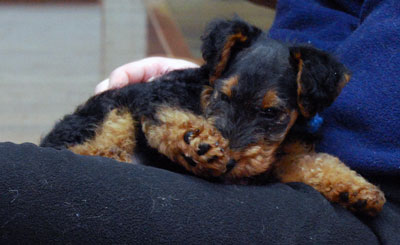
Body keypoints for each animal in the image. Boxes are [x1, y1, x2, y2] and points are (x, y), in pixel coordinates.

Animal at [40, 18, 384, 215]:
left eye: (271, 112)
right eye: (223, 95)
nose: (230, 163)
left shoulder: (281, 159)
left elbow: (317, 163)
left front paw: (357, 191)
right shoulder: (155, 96)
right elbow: (173, 118)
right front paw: (198, 144)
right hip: (110, 112)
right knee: (91, 148)